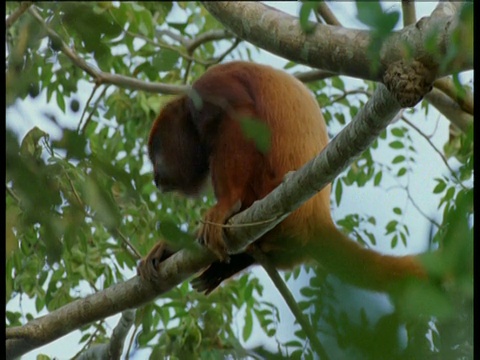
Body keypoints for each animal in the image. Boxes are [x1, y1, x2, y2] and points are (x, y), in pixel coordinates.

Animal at [138, 60, 424, 294]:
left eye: (157, 152)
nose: (155, 177)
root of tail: (317, 218)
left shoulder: (208, 87)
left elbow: (241, 115)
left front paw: (227, 203)